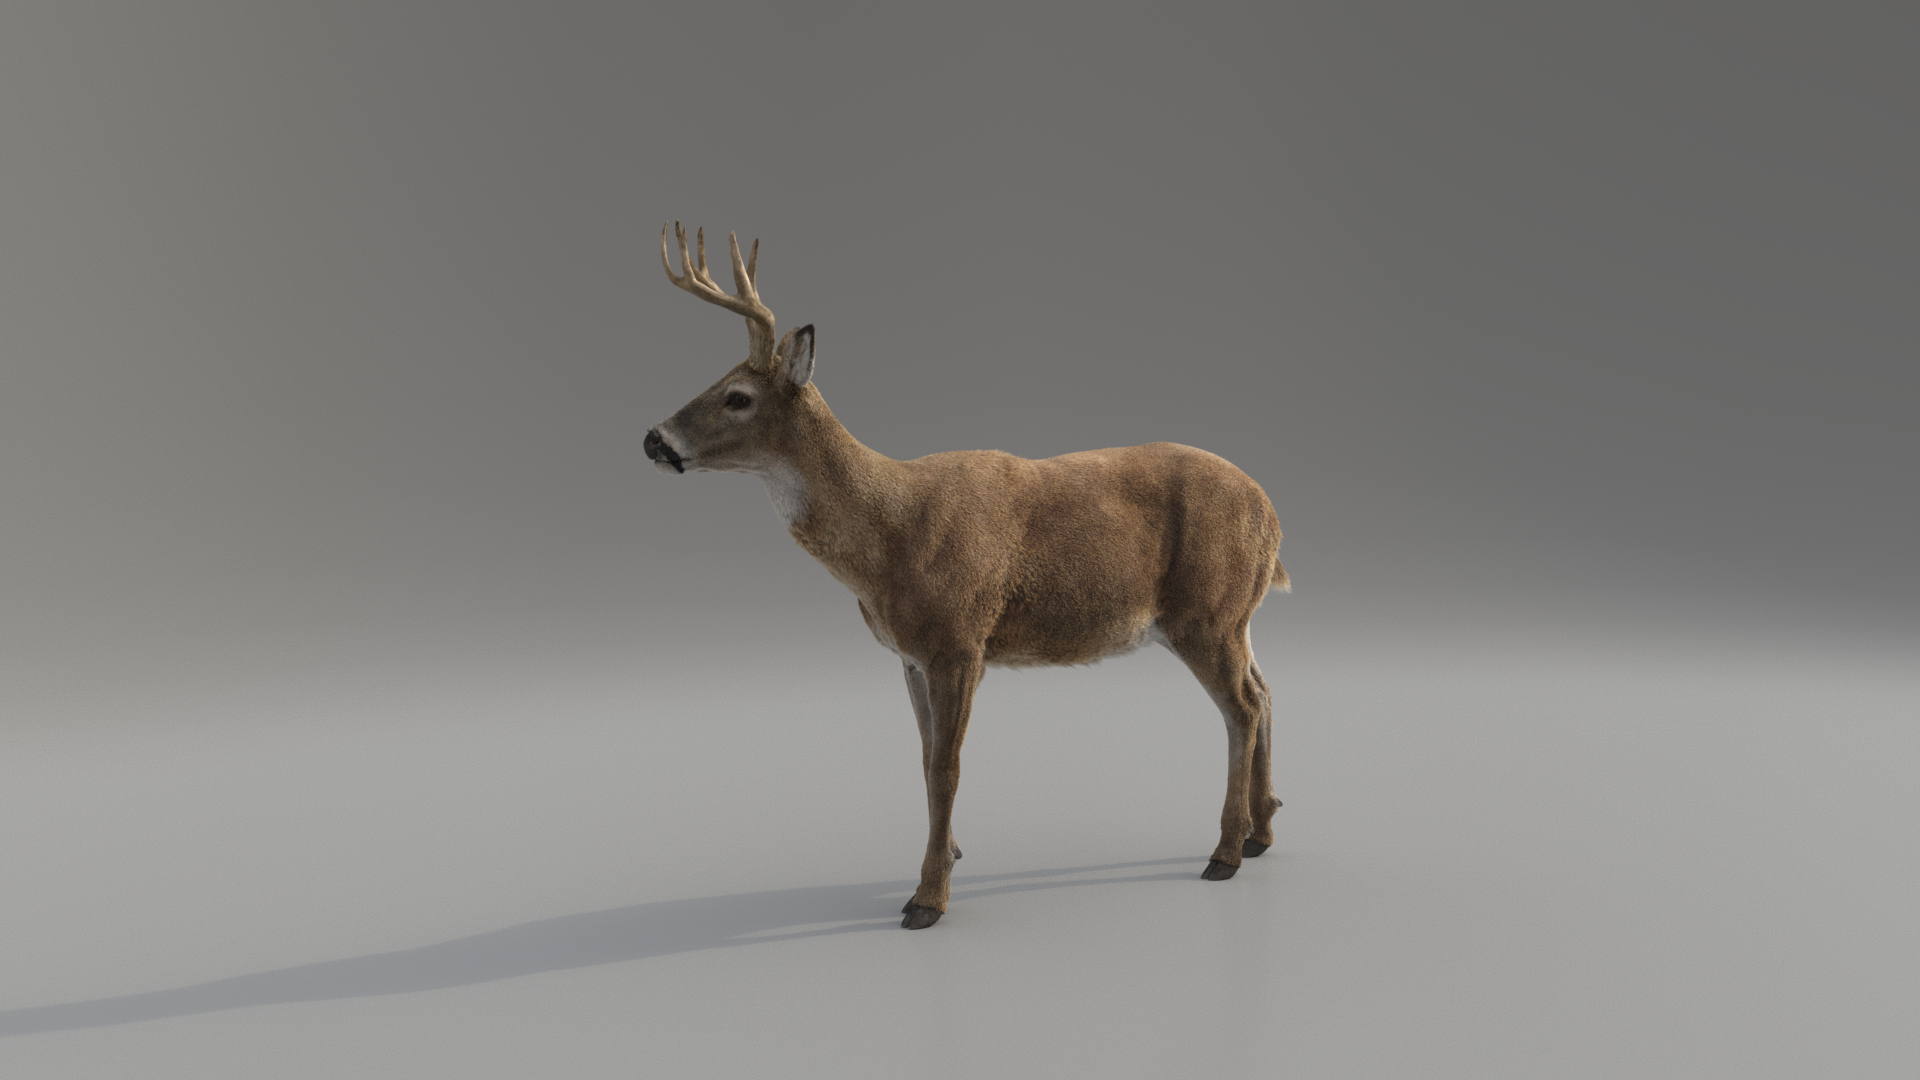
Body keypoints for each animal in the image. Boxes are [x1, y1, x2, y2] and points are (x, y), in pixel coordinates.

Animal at [644, 224, 1289, 929]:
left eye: (738, 397)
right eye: (717, 380)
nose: (653, 439)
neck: (887, 536)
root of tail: (1271, 513)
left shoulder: (959, 639)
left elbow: (947, 767)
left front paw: (927, 898)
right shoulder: (909, 654)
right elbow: (924, 761)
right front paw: (949, 853)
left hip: (1206, 610)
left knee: (1241, 706)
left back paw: (1224, 852)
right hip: (1234, 615)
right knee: (1264, 690)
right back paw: (1261, 834)